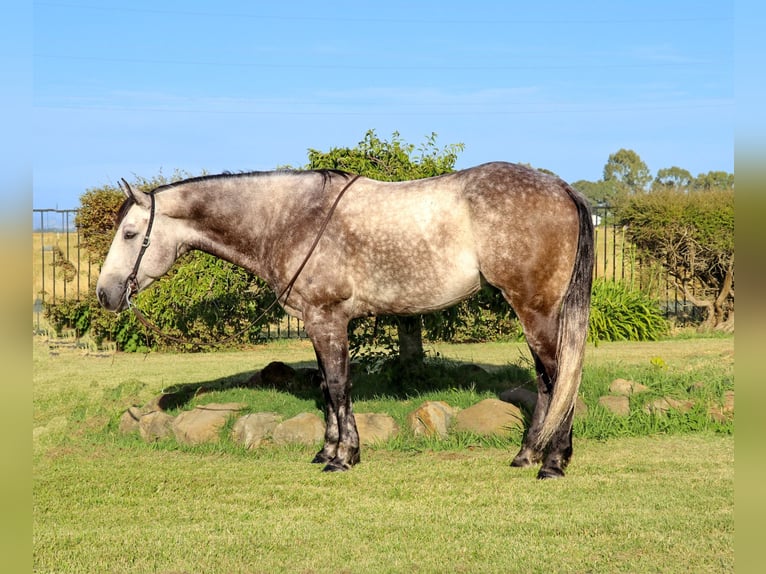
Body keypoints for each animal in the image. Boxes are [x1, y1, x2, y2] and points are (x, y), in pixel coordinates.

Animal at [96, 163, 596, 482]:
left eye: (130, 233)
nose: (106, 293)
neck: (293, 219)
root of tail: (560, 187)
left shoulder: (327, 318)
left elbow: (338, 386)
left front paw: (342, 458)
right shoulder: (320, 324)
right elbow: (326, 387)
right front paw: (328, 450)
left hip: (535, 310)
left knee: (559, 377)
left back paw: (552, 463)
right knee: (548, 380)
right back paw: (528, 455)